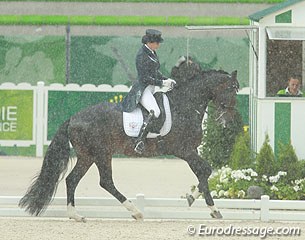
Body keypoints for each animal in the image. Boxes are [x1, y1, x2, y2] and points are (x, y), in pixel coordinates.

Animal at [19, 55, 239, 221]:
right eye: (231, 90)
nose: (228, 121)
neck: (185, 106)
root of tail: (73, 118)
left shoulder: (189, 150)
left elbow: (204, 172)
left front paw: (196, 200)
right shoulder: (183, 150)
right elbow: (205, 170)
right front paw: (208, 206)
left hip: (88, 156)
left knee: (73, 180)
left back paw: (76, 215)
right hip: (101, 153)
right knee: (105, 181)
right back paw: (135, 211)